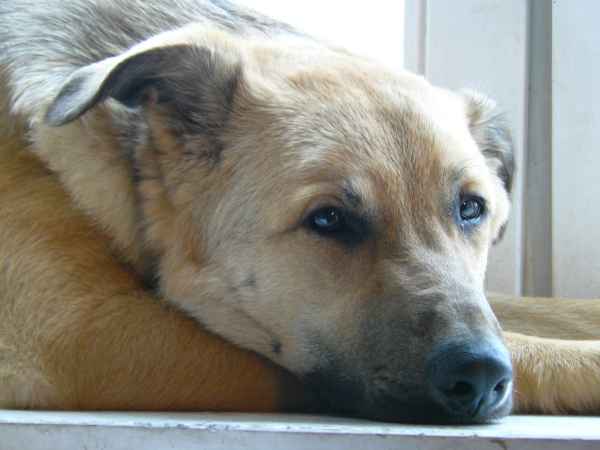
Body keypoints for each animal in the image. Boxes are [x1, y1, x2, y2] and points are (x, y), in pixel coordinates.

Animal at [0, 0, 598, 424]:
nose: (479, 376)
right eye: (328, 219)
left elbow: (538, 313)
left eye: (471, 208)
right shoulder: (83, 330)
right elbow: (527, 345)